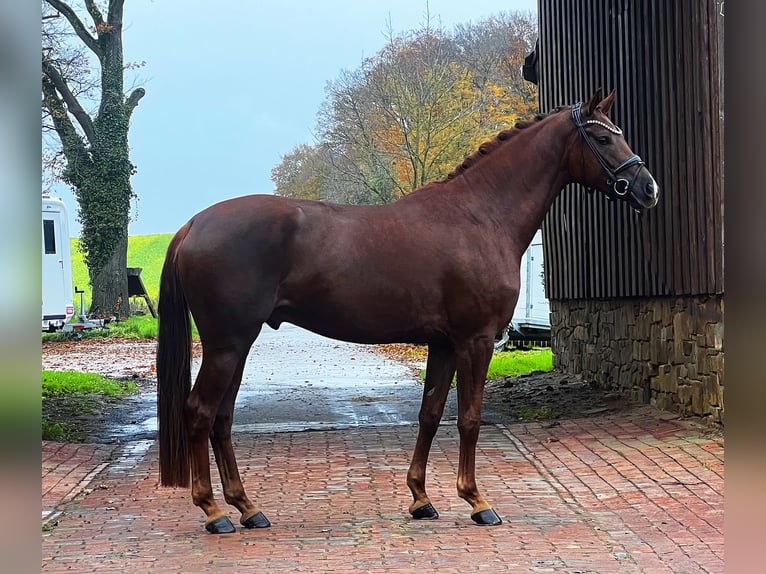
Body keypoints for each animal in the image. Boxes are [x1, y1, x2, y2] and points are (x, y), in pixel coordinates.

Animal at [156, 90, 660, 536]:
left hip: (237, 346)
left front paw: (421, 498)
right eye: (604, 138)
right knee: (200, 412)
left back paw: (247, 507)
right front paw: (477, 501)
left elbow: (430, 414)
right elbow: (470, 417)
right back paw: (214, 512)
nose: (648, 188)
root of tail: (193, 225)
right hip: (227, 345)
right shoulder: (476, 340)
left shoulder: (443, 344)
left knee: (222, 419)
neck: (480, 217)